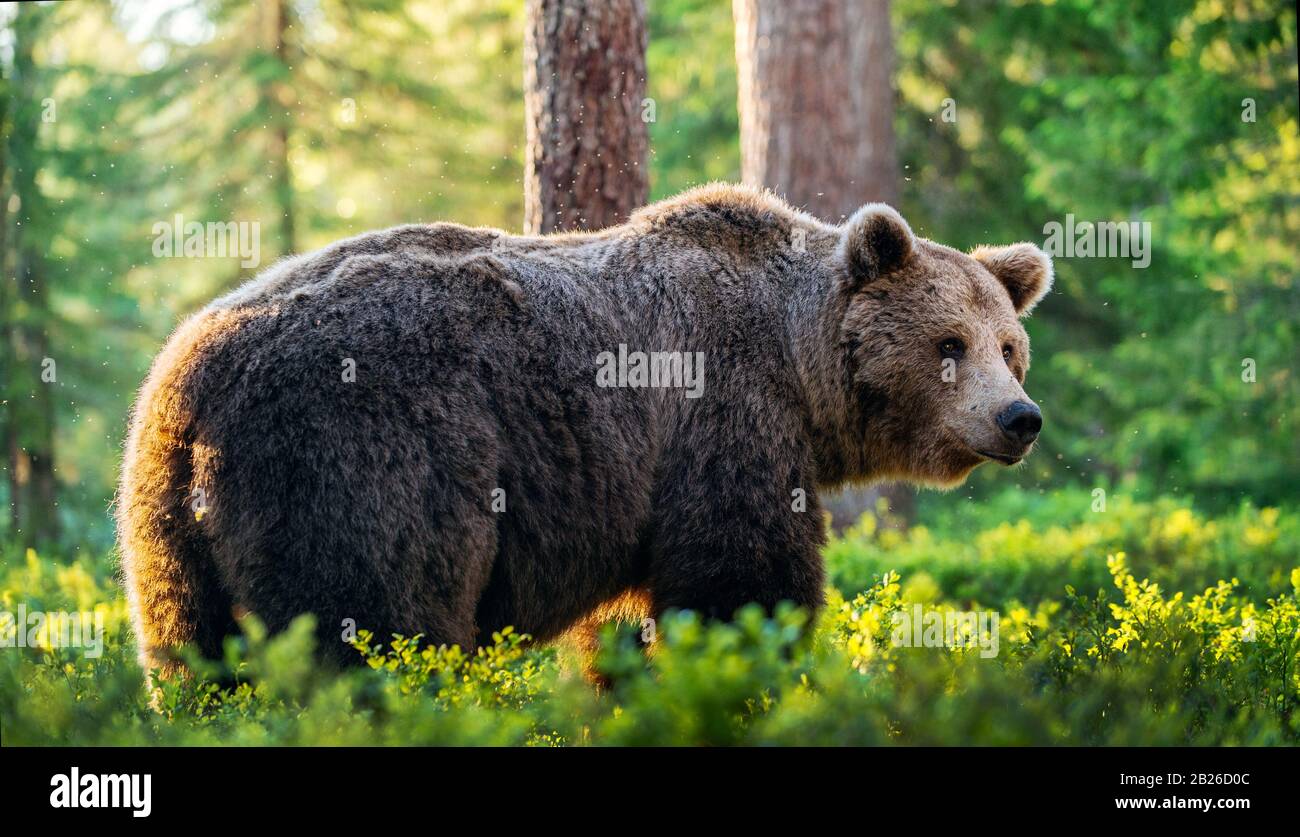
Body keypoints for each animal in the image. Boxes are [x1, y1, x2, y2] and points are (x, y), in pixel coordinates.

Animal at [119, 179, 1055, 675]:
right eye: (948, 344)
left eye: (1010, 346)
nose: (1020, 416)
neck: (798, 362)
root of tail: (186, 388)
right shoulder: (721, 420)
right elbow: (740, 580)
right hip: (363, 453)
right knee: (371, 620)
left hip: (165, 529)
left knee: (192, 652)